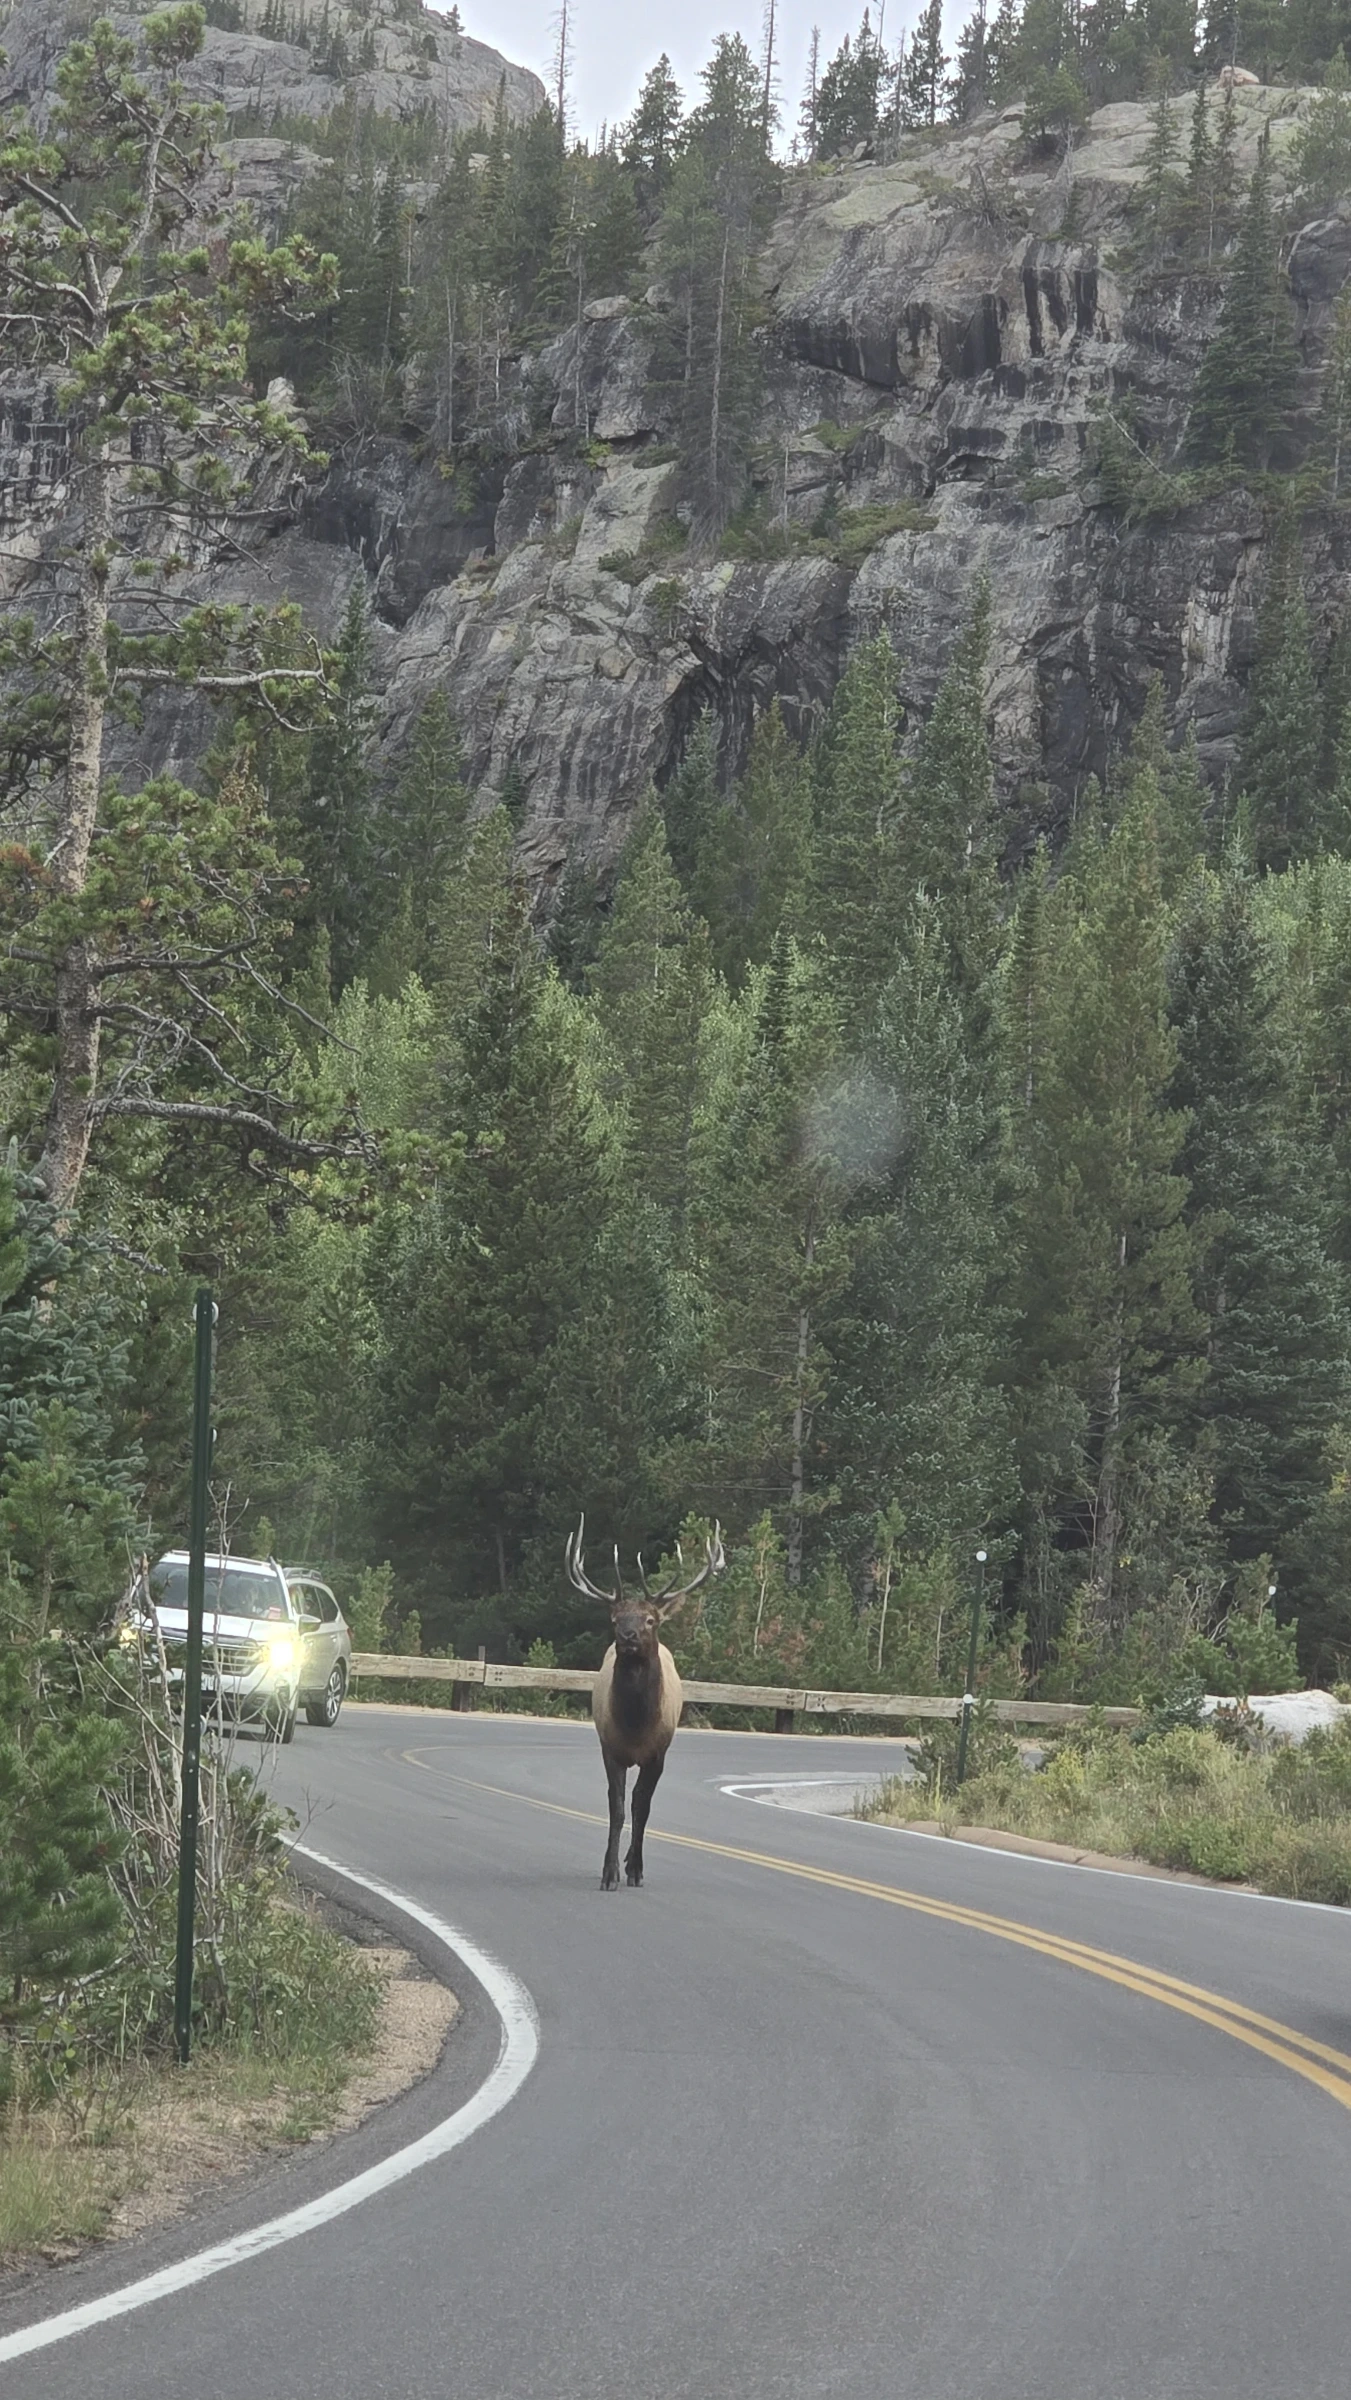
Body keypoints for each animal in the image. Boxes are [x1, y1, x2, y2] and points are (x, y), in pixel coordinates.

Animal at [566, 1515, 725, 1891]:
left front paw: (635, 1869)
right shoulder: (611, 1748)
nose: (627, 1636)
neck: (636, 1727)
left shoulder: (658, 1753)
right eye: (615, 1618)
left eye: (650, 1619)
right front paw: (609, 1872)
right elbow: (618, 1808)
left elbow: (643, 1807)